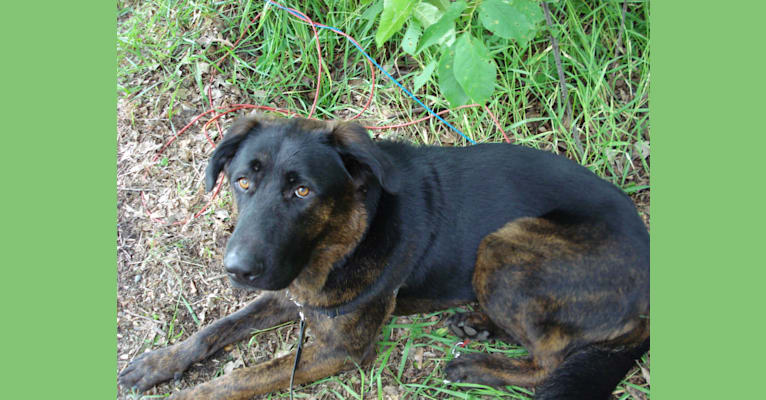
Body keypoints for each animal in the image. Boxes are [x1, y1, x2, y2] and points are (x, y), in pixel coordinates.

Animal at [118, 114, 648, 398]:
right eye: (243, 181)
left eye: (302, 191)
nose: (238, 270)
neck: (349, 234)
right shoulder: (290, 291)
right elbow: (216, 329)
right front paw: (159, 363)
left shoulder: (340, 350)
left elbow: (241, 378)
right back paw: (477, 324)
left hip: (505, 245)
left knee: (549, 360)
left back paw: (475, 365)